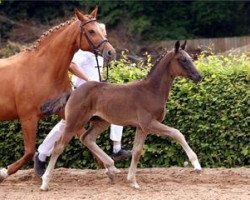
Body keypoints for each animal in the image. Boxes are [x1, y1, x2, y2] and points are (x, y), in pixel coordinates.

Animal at [0, 7, 115, 181]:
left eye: (102, 31)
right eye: (91, 31)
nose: (111, 52)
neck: (43, 70)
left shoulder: (63, 110)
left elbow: (84, 137)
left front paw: (108, 167)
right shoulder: (28, 117)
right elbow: (29, 152)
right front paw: (4, 172)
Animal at [39, 41, 203, 191]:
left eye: (190, 58)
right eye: (183, 59)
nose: (199, 76)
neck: (151, 91)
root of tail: (73, 92)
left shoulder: (142, 128)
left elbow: (137, 151)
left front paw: (133, 181)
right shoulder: (149, 123)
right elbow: (177, 133)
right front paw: (196, 165)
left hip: (101, 122)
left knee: (87, 138)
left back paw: (111, 169)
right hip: (74, 122)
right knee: (58, 146)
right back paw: (45, 182)